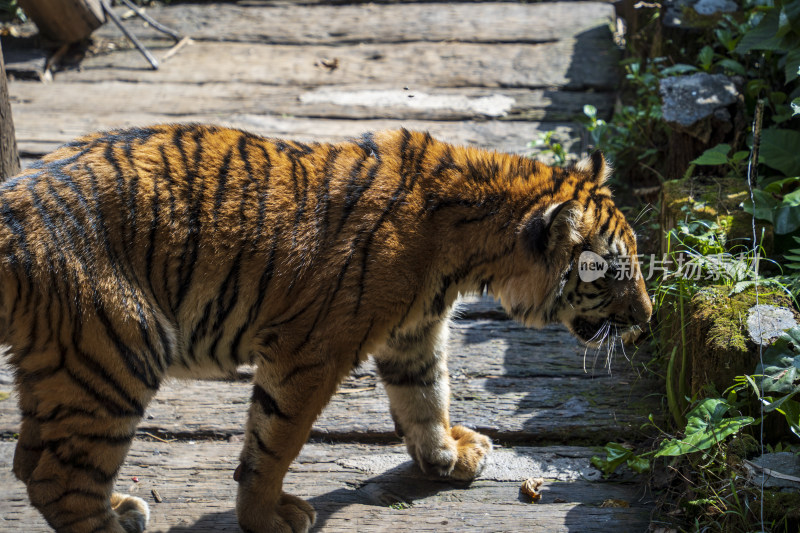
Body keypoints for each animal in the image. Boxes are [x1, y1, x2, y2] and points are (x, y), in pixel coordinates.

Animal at [1, 125, 648, 532]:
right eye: (611, 272)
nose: (646, 320)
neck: (469, 248)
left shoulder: (414, 332)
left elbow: (425, 396)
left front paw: (448, 454)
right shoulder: (311, 352)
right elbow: (275, 441)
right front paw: (266, 517)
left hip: (70, 366)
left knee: (34, 463)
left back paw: (121, 507)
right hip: (116, 355)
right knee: (56, 476)